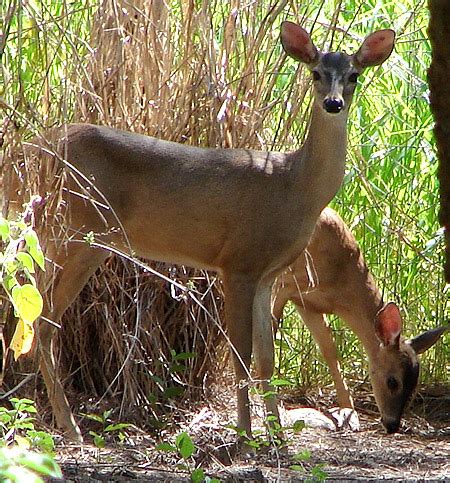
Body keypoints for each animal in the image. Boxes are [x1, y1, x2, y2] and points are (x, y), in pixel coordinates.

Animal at [18, 22, 398, 442]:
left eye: (354, 75)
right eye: (316, 73)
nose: (333, 103)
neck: (293, 186)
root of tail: (28, 152)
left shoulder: (268, 275)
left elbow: (266, 360)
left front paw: (277, 437)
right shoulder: (238, 262)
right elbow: (240, 356)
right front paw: (246, 436)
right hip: (77, 233)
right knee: (44, 320)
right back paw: (70, 427)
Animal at [270, 208, 446, 434]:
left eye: (414, 384)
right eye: (393, 382)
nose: (392, 425)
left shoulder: (307, 304)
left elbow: (329, 350)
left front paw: (348, 411)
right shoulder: (284, 283)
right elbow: (270, 331)